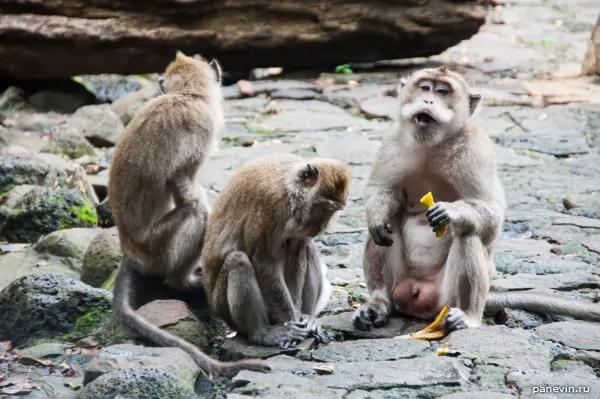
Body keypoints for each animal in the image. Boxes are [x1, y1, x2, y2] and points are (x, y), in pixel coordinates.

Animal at [108, 50, 270, 378]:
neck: (187, 95)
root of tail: (129, 251)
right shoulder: (201, 126)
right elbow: (182, 184)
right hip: (156, 250)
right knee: (197, 212)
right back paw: (181, 282)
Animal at [203, 154, 352, 350]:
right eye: (325, 208)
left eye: (332, 211)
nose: (320, 227)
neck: (289, 188)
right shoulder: (267, 203)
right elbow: (263, 260)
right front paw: (291, 320)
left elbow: (297, 252)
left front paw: (299, 316)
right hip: (225, 309)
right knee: (238, 260)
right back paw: (261, 333)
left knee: (309, 248)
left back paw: (308, 317)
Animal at [354, 65, 600, 332]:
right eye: (425, 87)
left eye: (442, 91)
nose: (428, 100)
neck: (432, 144)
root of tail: (417, 291)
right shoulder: (393, 141)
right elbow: (381, 190)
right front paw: (378, 216)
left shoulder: (475, 148)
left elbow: (490, 213)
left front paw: (450, 212)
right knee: (385, 229)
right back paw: (379, 303)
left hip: (444, 297)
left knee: (467, 233)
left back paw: (468, 315)